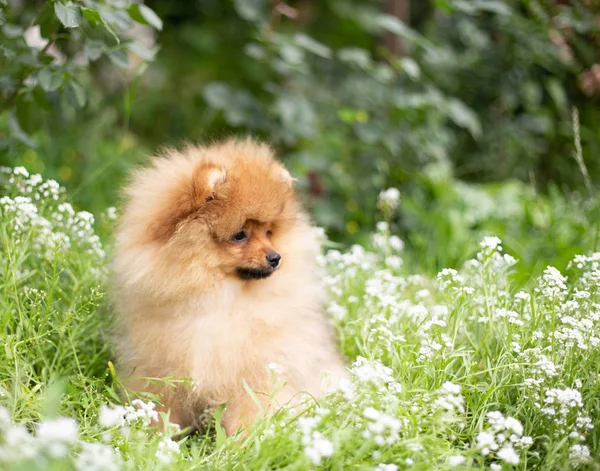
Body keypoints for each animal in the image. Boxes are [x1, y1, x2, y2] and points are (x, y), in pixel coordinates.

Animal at [111, 136, 346, 436]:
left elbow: (253, 409)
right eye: (239, 235)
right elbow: (160, 405)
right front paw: (154, 436)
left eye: (268, 232)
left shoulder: (256, 372)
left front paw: (247, 440)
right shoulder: (158, 366)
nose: (276, 257)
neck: (219, 298)